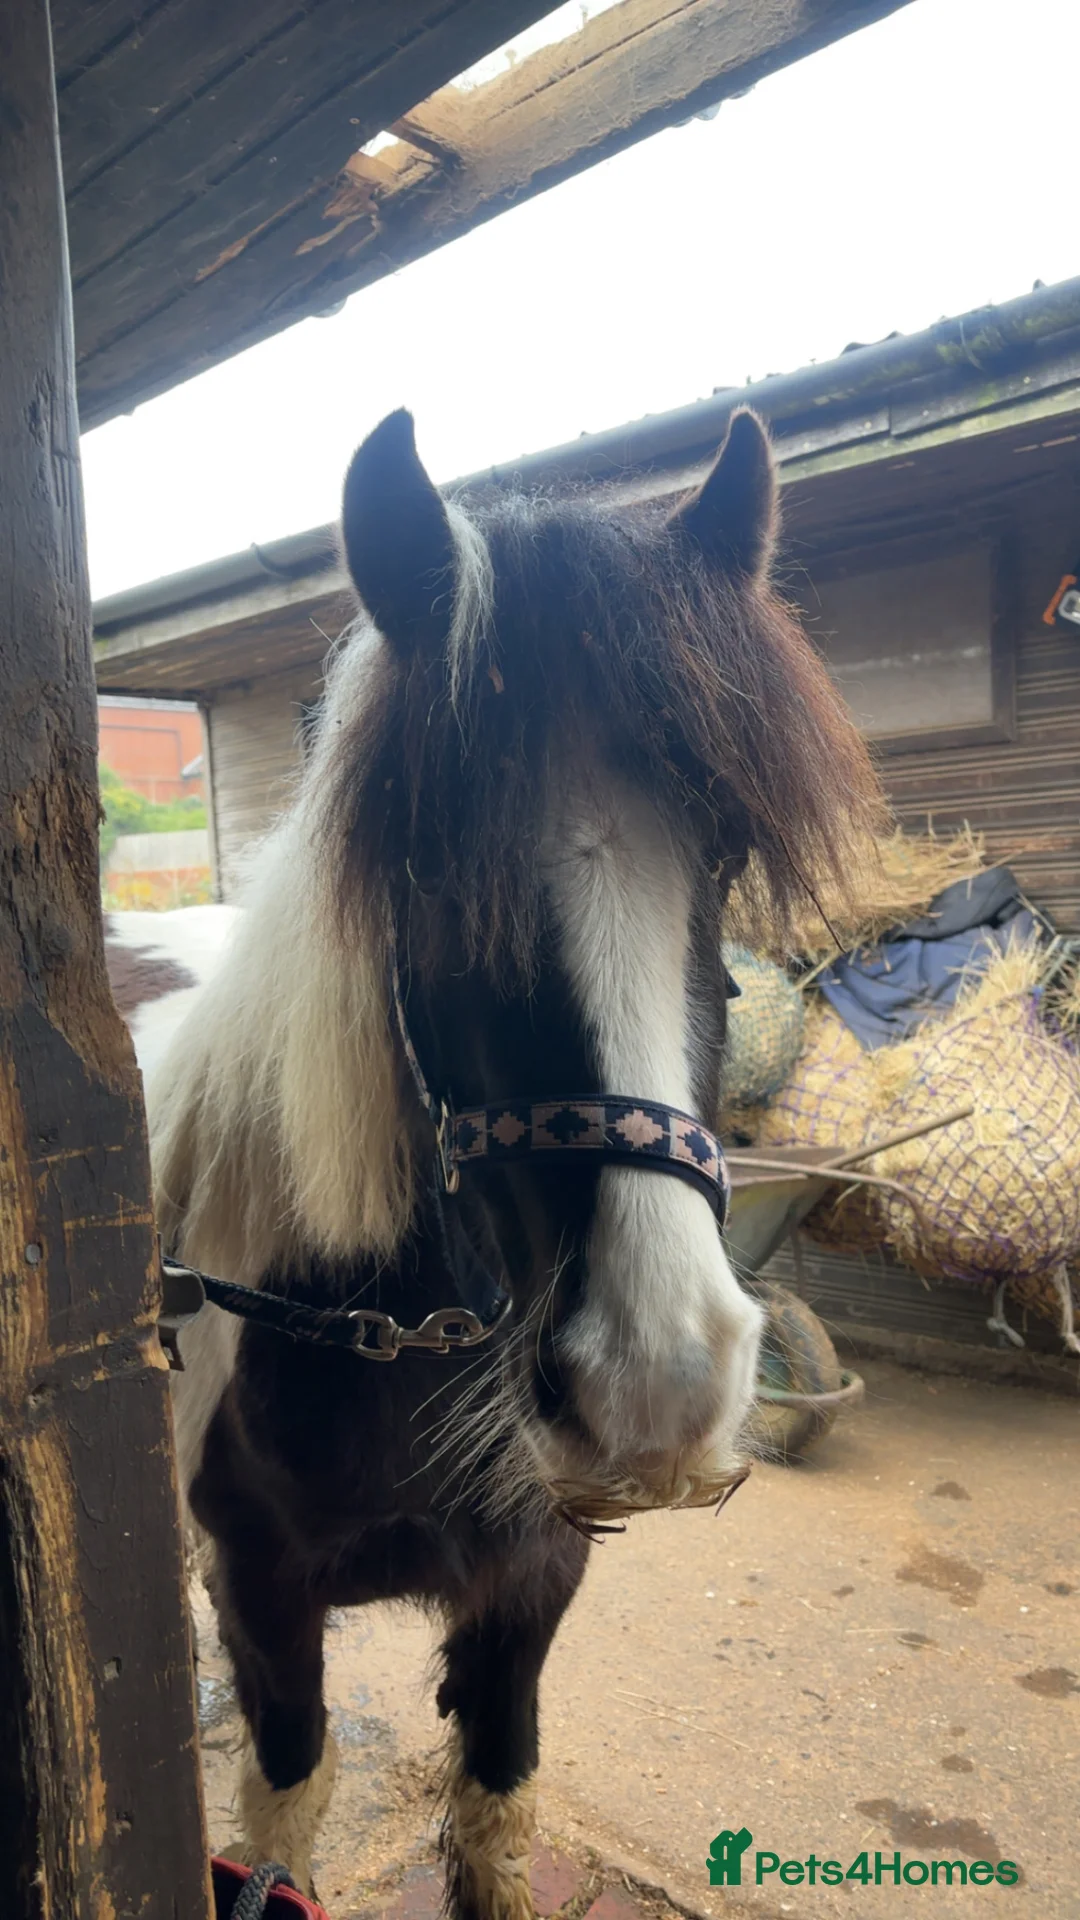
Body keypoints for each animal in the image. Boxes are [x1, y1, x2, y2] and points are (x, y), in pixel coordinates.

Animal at [151, 406, 881, 1916]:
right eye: (430, 870)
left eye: (725, 849)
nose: (656, 1387)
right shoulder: (265, 1599)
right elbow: (281, 1820)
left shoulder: (531, 1590)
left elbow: (495, 1816)